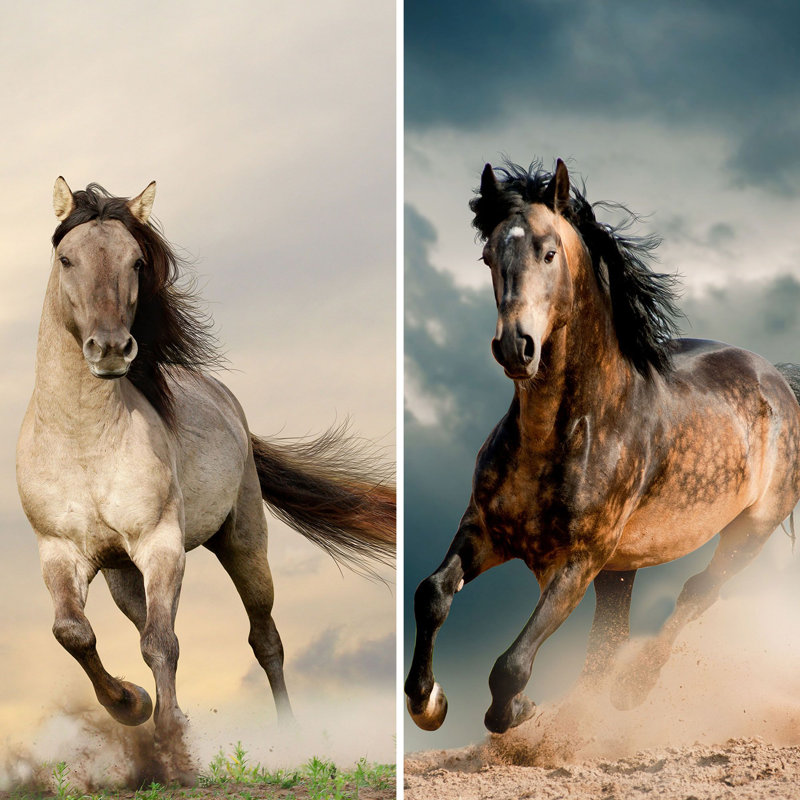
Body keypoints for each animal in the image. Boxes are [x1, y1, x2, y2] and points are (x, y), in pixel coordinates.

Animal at [16, 178, 395, 775]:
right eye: (66, 258)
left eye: (136, 261)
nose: (110, 349)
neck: (81, 440)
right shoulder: (59, 551)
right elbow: (75, 633)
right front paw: (132, 704)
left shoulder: (161, 544)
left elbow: (161, 644)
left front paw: (174, 748)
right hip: (124, 575)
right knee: (144, 625)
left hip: (243, 545)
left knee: (264, 640)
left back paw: (290, 739)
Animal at [405, 158, 800, 736]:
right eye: (488, 255)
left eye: (549, 252)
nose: (515, 347)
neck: (563, 432)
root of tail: (779, 381)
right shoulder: (485, 530)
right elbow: (432, 594)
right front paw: (428, 702)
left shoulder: (578, 560)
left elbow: (511, 665)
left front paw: (519, 711)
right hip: (622, 567)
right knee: (609, 638)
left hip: (750, 531)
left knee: (696, 593)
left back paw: (631, 691)